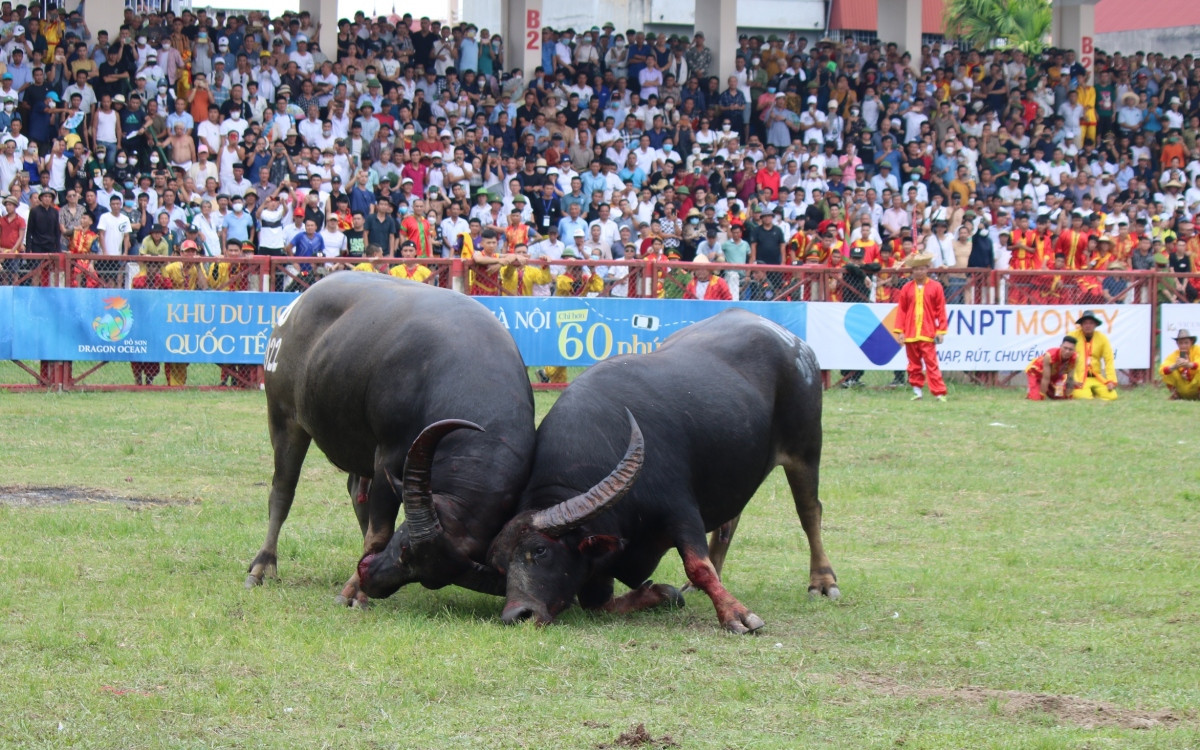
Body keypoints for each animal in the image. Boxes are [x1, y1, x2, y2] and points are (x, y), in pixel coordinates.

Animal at [243, 273, 535, 602]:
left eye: (430, 580)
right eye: (406, 547)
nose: (372, 581)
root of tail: (294, 309)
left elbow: (376, 526)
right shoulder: (390, 455)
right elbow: (380, 531)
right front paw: (353, 593)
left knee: (356, 495)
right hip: (284, 417)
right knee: (282, 491)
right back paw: (262, 566)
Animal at [484, 309, 835, 633]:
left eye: (540, 550)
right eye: (501, 567)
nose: (517, 615)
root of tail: (795, 343)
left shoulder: (681, 510)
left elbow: (697, 566)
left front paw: (737, 615)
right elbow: (599, 604)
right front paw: (662, 593)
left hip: (805, 449)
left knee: (809, 512)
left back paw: (823, 582)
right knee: (730, 521)